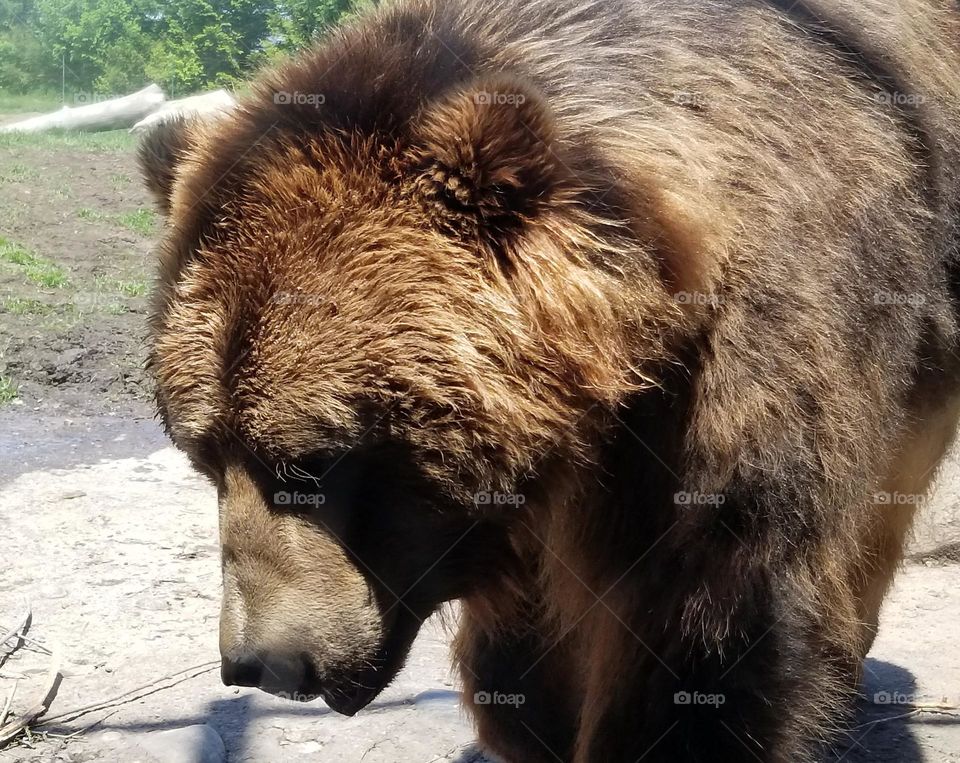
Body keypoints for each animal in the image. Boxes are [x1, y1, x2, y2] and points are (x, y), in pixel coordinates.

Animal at [139, 1, 960, 763]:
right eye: (203, 456)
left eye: (315, 461)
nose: (259, 662)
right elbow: (526, 662)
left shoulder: (732, 391)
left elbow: (708, 631)